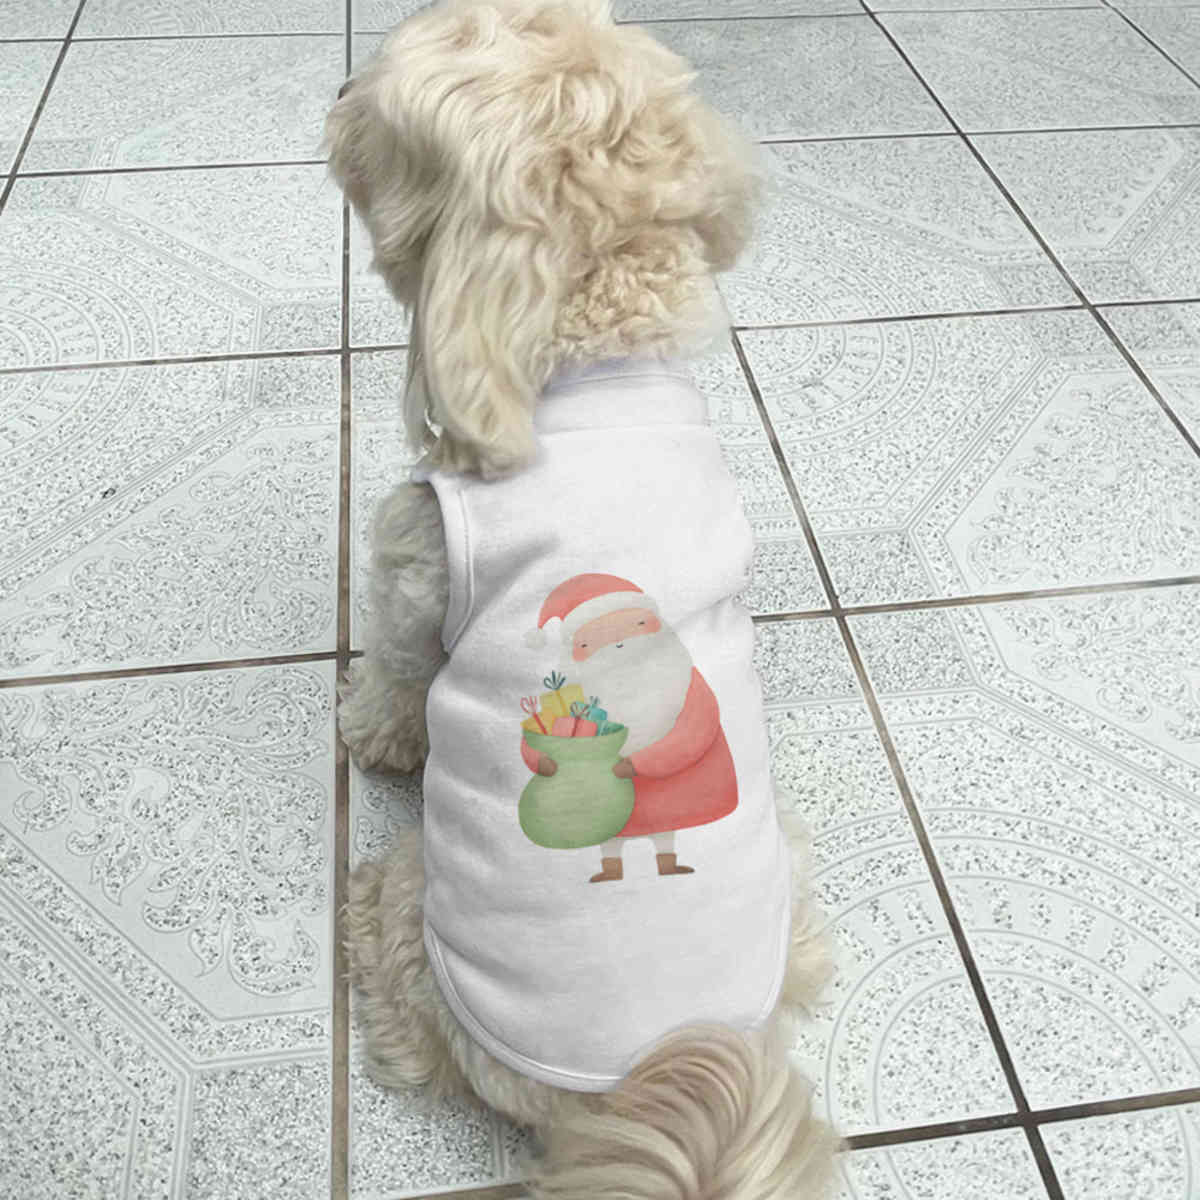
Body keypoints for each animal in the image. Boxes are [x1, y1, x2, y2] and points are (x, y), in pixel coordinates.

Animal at [325, 2, 837, 1194]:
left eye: (385, 122)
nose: (336, 99)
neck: (594, 358)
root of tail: (638, 1088)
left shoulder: (413, 569)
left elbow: (395, 682)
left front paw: (367, 733)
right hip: (793, 904)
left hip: (417, 927)